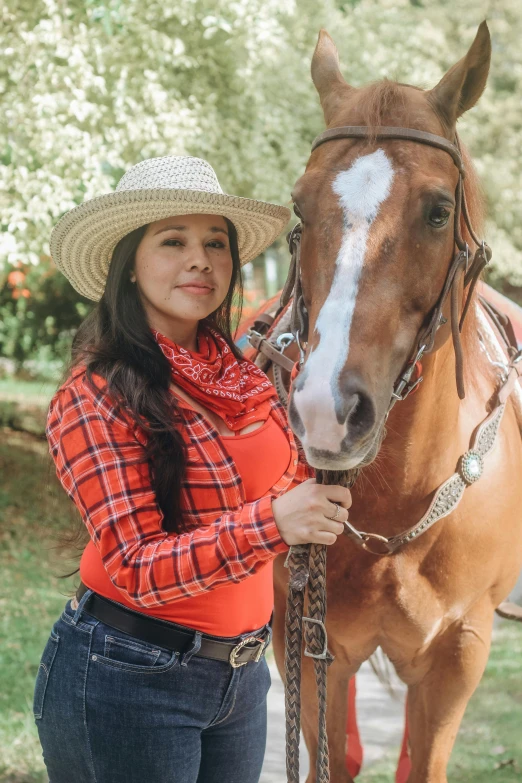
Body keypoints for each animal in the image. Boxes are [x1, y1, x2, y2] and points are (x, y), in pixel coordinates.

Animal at [266, 21, 522, 780]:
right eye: (300, 204)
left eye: (439, 211)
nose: (326, 409)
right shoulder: (307, 639)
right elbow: (333, 756)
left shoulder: (458, 654)